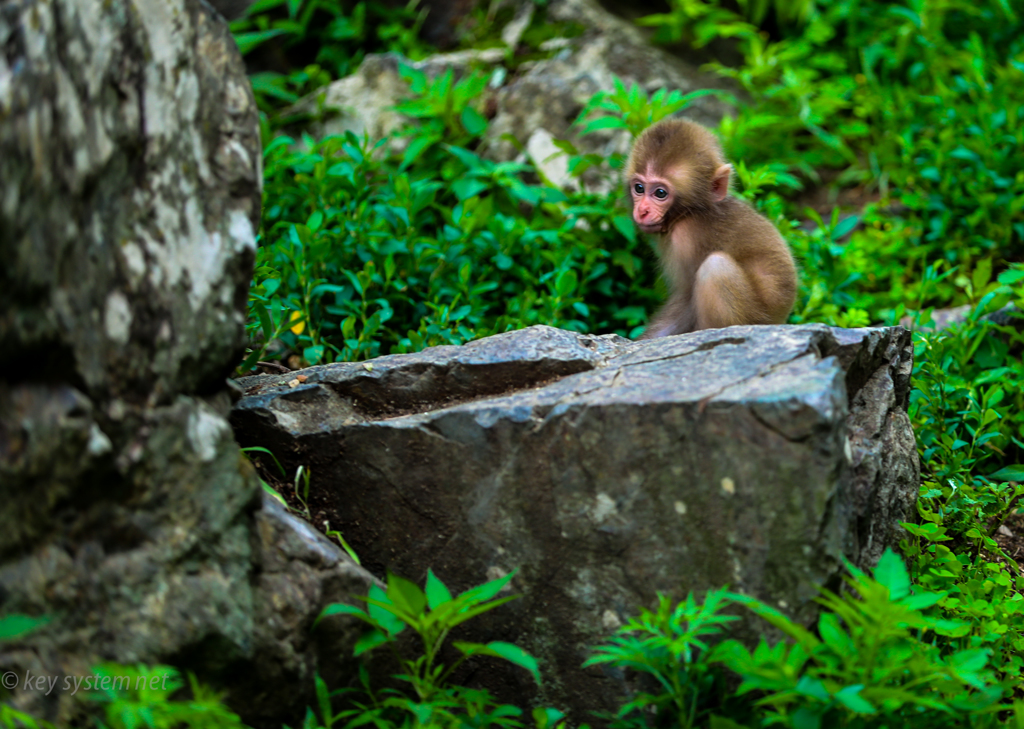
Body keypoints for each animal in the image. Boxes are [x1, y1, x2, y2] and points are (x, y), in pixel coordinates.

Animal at [622, 118, 798, 337]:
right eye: (639, 188)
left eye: (660, 193)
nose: (643, 210)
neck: (690, 213)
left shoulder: (685, 238)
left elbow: (686, 300)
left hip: (754, 318)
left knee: (716, 267)